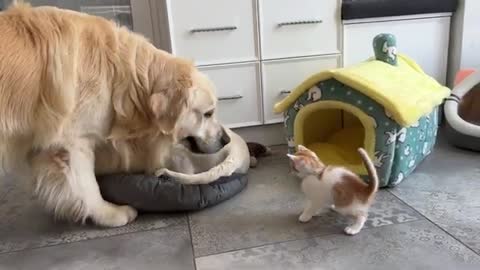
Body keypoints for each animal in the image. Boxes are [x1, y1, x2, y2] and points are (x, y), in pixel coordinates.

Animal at [0, 3, 225, 227]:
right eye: (208, 113)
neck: (119, 72)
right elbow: (87, 185)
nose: (226, 139)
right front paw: (109, 214)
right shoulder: (71, 142)